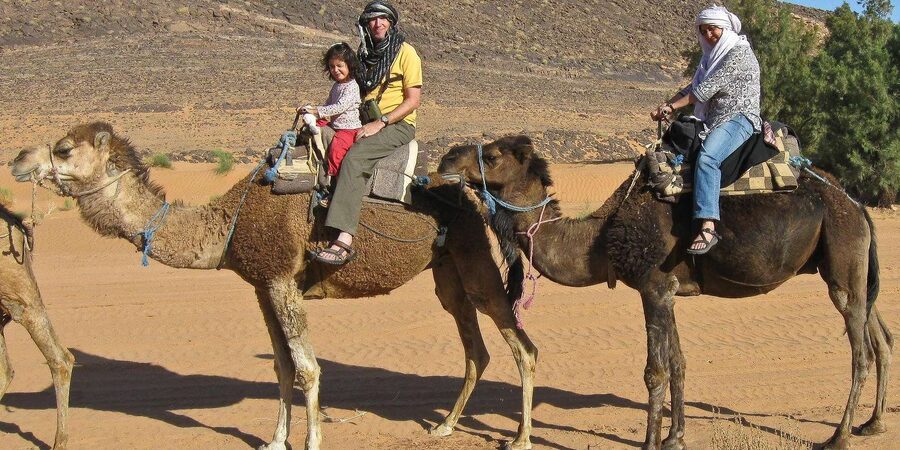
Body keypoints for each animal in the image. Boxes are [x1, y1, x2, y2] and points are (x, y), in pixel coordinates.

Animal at [10, 122, 540, 450]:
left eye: (64, 149)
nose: (17, 159)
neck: (230, 221)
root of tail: (473, 195)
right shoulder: (262, 286)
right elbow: (282, 368)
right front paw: (274, 439)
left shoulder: (283, 280)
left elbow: (307, 368)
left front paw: (312, 440)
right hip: (447, 270)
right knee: (475, 347)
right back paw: (445, 426)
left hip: (474, 257)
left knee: (522, 345)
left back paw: (520, 437)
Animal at [437, 135, 893, 450]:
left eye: (492, 156)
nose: (445, 159)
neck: (601, 238)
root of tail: (856, 204)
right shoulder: (669, 291)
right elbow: (678, 362)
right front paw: (675, 437)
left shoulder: (652, 287)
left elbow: (654, 371)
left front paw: (649, 443)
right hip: (850, 266)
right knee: (881, 335)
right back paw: (872, 424)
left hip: (842, 254)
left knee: (861, 351)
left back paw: (839, 437)